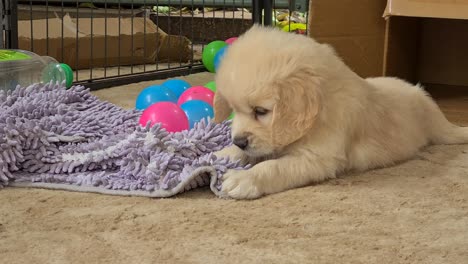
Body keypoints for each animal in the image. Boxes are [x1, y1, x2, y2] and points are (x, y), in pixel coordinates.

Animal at [213, 24, 468, 199]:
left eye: (261, 111)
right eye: (233, 109)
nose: (239, 141)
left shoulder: (319, 158)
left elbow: (275, 166)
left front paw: (244, 178)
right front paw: (223, 154)